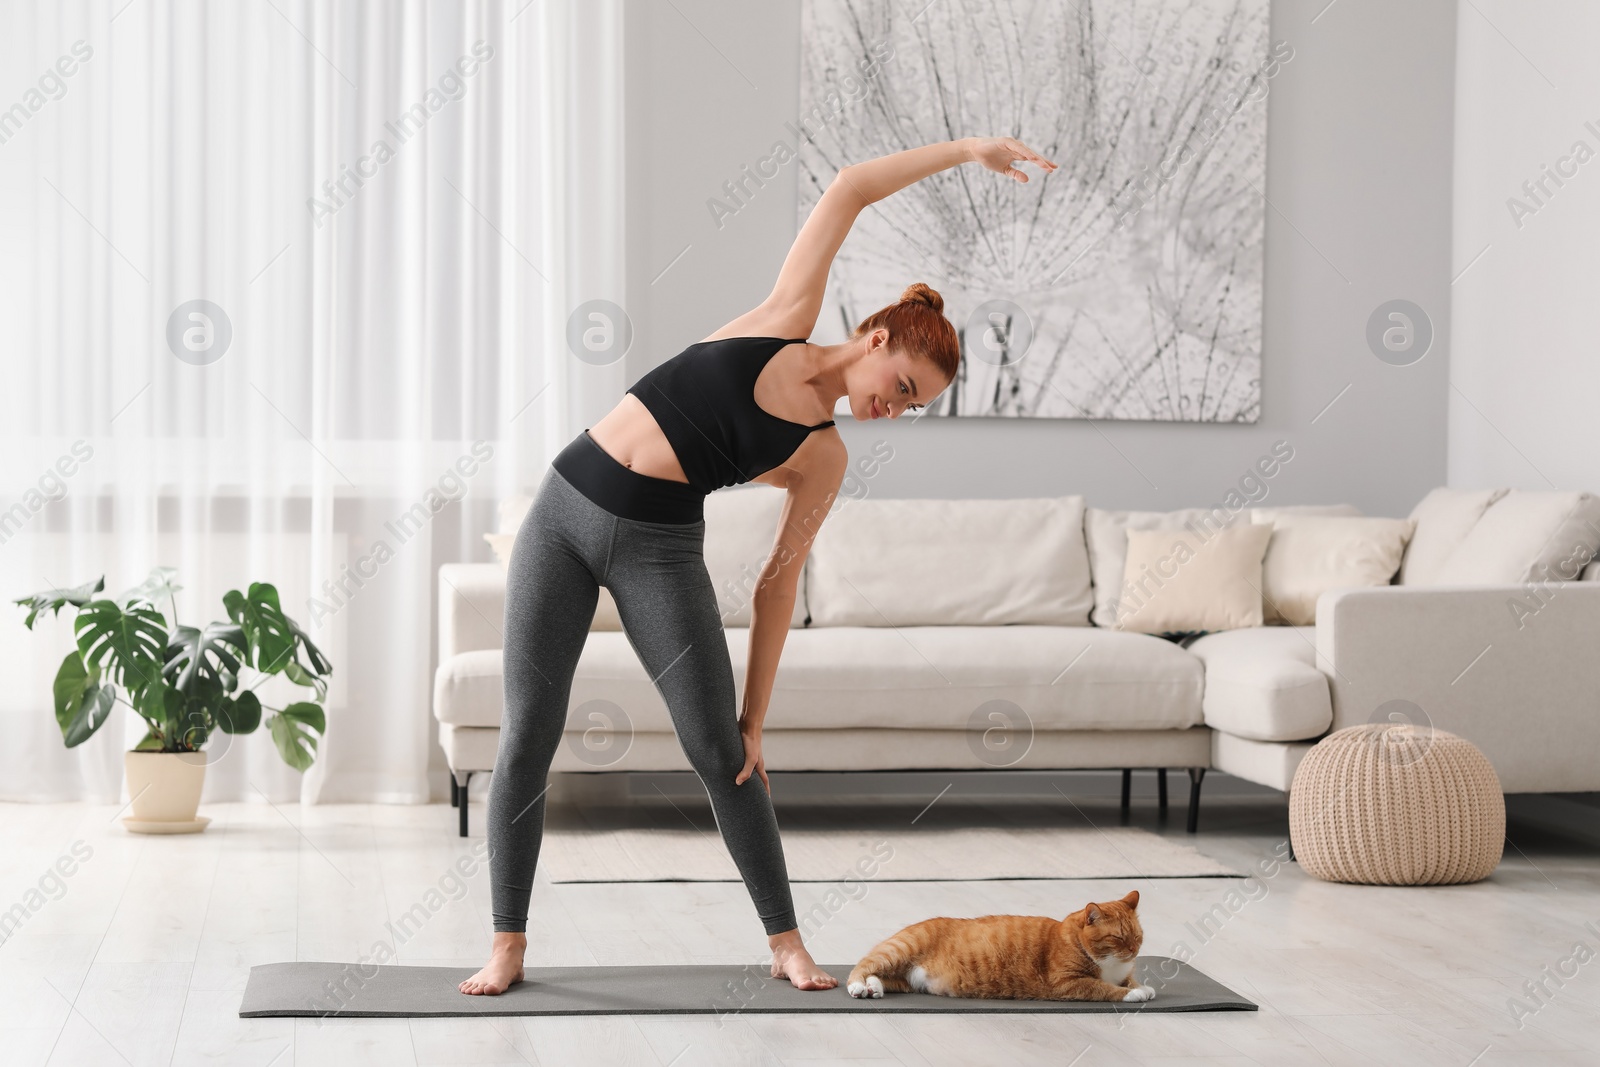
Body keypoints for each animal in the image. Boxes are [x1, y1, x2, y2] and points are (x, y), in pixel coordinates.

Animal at [844, 895, 1158, 1004]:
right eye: (1118, 938)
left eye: (1137, 936)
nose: (1133, 951)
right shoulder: (1066, 983)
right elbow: (1104, 988)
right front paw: (1133, 994)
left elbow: (1128, 980)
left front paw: (1141, 985)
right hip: (900, 950)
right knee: (862, 966)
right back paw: (859, 987)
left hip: (906, 978)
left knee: (882, 977)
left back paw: (874, 988)